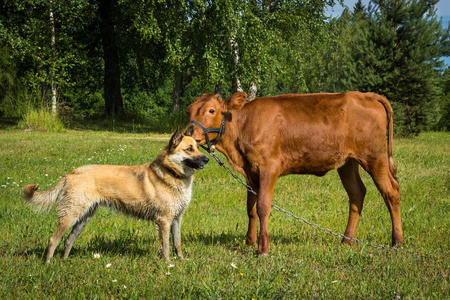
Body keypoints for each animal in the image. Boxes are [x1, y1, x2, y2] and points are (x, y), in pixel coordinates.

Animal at [22, 125, 208, 262]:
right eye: (189, 149)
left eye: (198, 147)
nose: (206, 159)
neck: (171, 173)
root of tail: (71, 173)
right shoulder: (164, 220)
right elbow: (167, 246)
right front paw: (168, 265)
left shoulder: (177, 218)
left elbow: (177, 243)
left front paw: (181, 261)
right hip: (70, 215)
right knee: (54, 240)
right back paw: (48, 264)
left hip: (84, 218)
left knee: (69, 240)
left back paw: (64, 262)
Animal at [186, 91, 404, 255]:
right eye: (189, 110)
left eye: (211, 110)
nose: (188, 132)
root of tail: (364, 95)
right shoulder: (250, 172)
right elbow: (251, 209)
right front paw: (249, 242)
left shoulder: (269, 167)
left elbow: (263, 206)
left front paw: (263, 248)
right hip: (347, 162)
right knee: (357, 193)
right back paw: (346, 240)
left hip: (374, 156)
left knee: (391, 192)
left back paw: (397, 242)